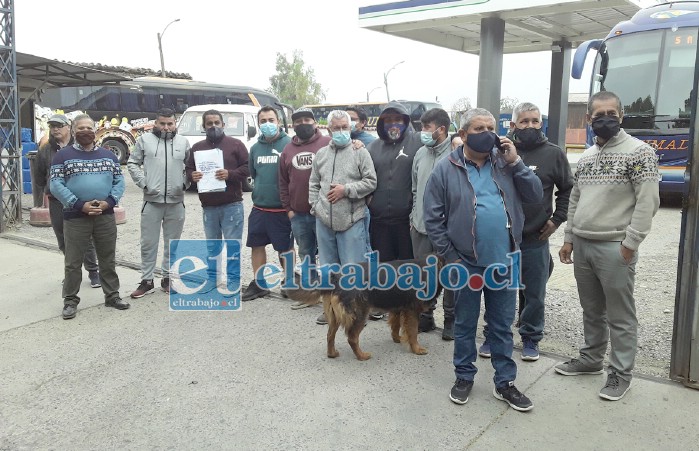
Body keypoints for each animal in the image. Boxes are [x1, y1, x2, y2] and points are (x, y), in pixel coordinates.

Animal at [288, 256, 442, 362]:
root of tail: (336, 277)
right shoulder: (412, 311)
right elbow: (413, 332)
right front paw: (417, 349)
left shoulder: (397, 308)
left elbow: (395, 325)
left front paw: (397, 339)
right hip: (360, 313)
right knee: (352, 338)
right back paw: (362, 356)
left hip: (335, 315)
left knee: (330, 335)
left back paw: (332, 354)